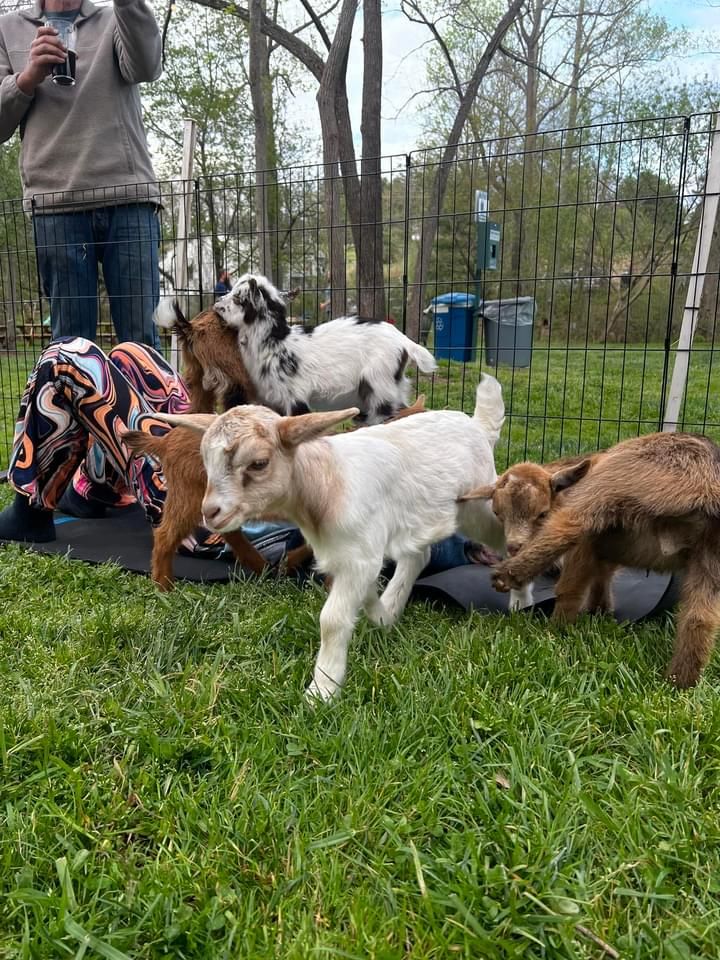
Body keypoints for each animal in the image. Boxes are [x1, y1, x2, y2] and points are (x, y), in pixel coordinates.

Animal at [162, 378, 536, 700]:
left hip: (478, 507)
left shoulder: (358, 556)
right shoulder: (353, 555)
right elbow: (363, 591)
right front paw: (378, 613)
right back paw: (392, 609)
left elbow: (332, 619)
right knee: (418, 557)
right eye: (206, 463)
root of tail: (477, 425)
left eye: (258, 463)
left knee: (507, 540)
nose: (211, 512)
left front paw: (322, 690)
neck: (326, 480)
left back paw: (521, 601)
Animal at [212, 270, 438, 420]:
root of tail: (403, 340)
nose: (217, 303)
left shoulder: (294, 396)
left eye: (238, 298)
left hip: (379, 383)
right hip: (395, 385)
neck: (275, 342)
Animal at [484, 432, 720, 688]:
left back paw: (512, 581)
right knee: (700, 618)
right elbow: (602, 575)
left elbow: (574, 584)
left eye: (542, 513)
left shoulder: (587, 542)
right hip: (710, 555)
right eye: (498, 514)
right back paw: (680, 681)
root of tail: (704, 485)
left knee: (568, 527)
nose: (513, 547)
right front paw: (599, 610)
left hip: (606, 488)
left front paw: (569, 623)